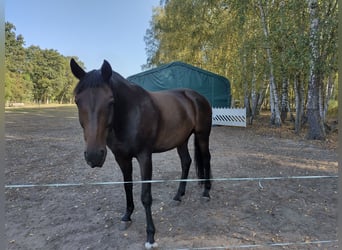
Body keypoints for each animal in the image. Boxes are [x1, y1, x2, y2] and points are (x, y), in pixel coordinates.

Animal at [71, 59, 212, 248]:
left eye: (110, 101)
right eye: (77, 101)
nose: (94, 156)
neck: (130, 115)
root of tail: (197, 97)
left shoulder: (145, 157)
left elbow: (146, 196)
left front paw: (151, 236)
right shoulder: (122, 158)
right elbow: (127, 186)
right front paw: (126, 217)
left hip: (203, 135)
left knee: (206, 159)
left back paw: (206, 193)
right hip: (181, 140)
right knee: (186, 162)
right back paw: (178, 196)